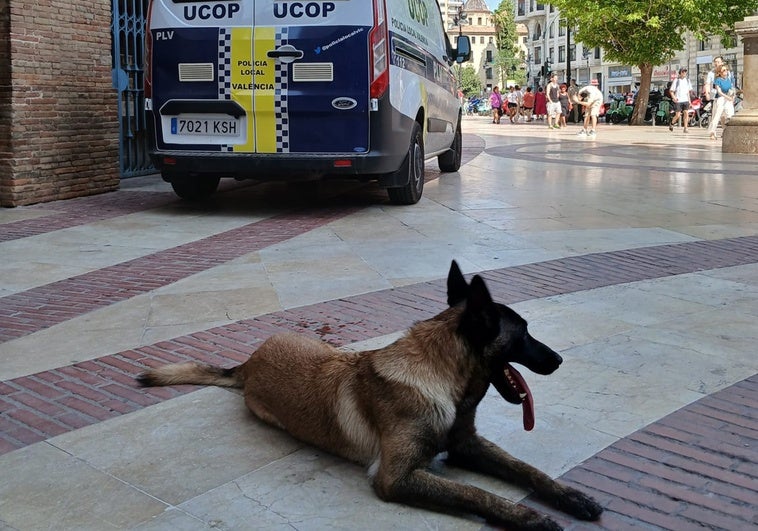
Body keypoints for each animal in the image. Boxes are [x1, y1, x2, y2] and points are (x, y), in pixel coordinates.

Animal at [137, 262, 600, 531]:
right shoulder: (397, 477)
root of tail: (249, 362)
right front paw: (531, 518)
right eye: (523, 335)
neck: (437, 376)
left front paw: (569, 496)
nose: (558, 360)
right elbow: (477, 494)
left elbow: (526, 469)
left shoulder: (466, 444)